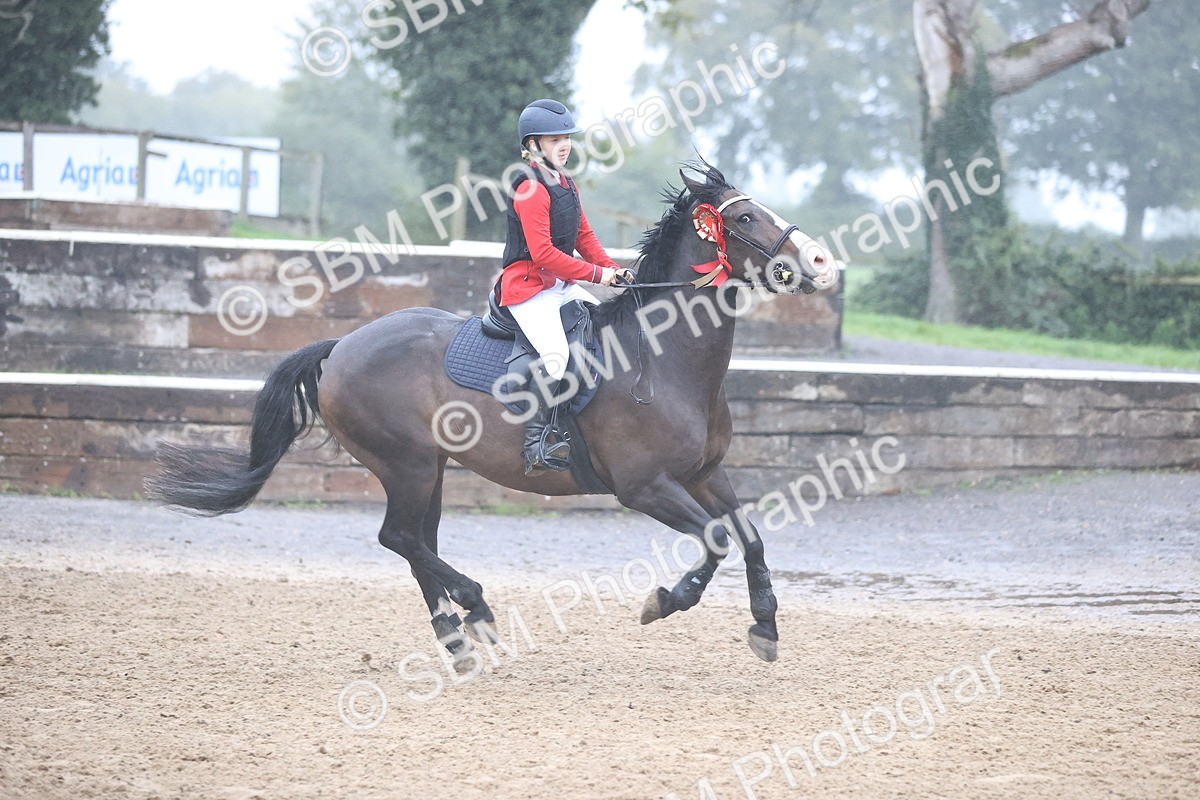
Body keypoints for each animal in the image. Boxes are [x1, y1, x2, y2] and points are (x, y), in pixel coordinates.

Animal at [146, 161, 840, 663]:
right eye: (745, 215)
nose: (820, 262)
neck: (662, 357)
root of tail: (341, 345)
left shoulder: (703, 474)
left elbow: (748, 534)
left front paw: (766, 625)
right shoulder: (646, 487)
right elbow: (718, 540)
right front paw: (667, 600)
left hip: (428, 468)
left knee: (415, 541)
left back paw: (456, 637)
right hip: (406, 463)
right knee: (399, 537)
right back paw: (474, 610)